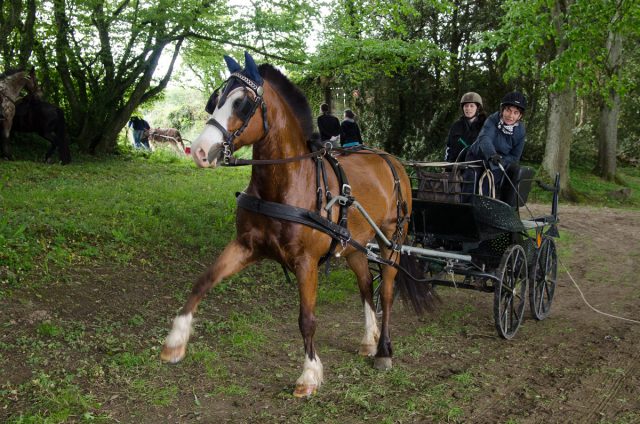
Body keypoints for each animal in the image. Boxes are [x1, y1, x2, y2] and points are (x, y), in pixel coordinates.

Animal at [161, 53, 430, 398]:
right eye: (215, 100)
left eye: (242, 104)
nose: (198, 150)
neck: (286, 184)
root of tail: (391, 159)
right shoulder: (245, 246)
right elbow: (202, 282)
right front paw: (175, 340)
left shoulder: (306, 262)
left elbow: (307, 319)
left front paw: (309, 374)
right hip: (354, 245)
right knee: (365, 286)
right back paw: (369, 340)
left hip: (391, 241)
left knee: (386, 292)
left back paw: (383, 350)